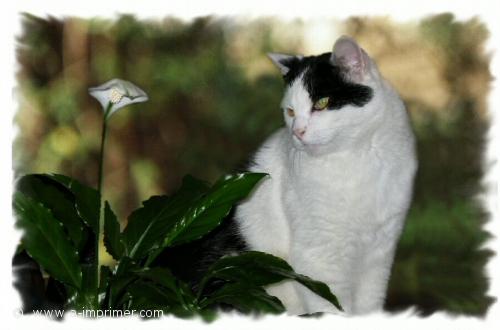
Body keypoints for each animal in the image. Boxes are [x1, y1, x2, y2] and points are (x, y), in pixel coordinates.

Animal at [162, 35, 416, 314]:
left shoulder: (379, 256)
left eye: (321, 103)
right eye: (290, 111)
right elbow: (332, 308)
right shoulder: (318, 260)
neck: (358, 158)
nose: (298, 132)